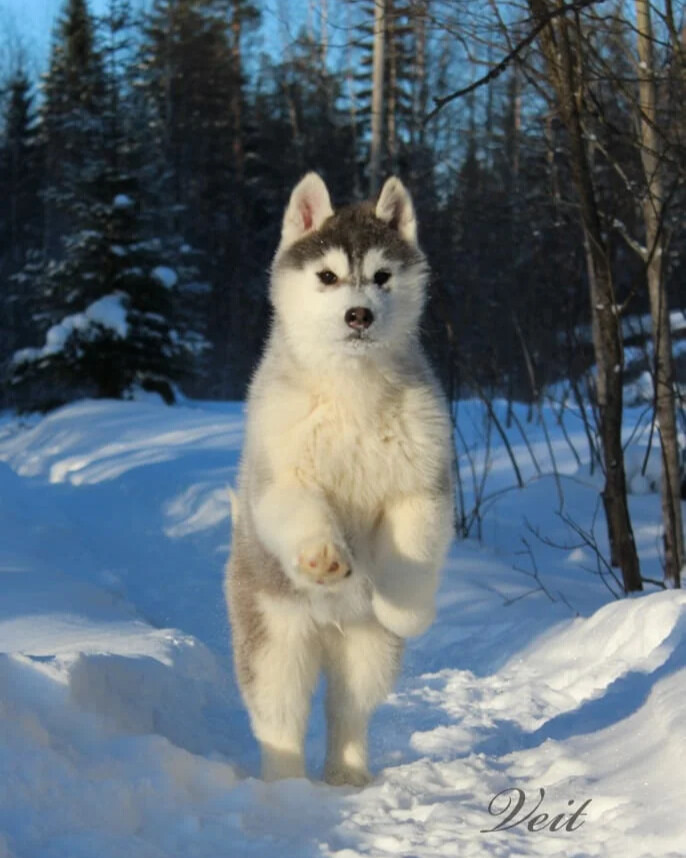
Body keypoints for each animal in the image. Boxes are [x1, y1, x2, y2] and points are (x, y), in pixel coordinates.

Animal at [226, 172, 456, 784]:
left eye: (381, 276)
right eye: (327, 276)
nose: (359, 315)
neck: (352, 390)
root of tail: (328, 625)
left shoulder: (422, 485)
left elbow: (413, 547)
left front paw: (409, 609)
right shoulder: (282, 476)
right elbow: (303, 511)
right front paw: (324, 557)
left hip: (367, 649)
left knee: (347, 709)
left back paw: (347, 777)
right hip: (275, 639)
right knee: (280, 717)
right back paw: (286, 787)